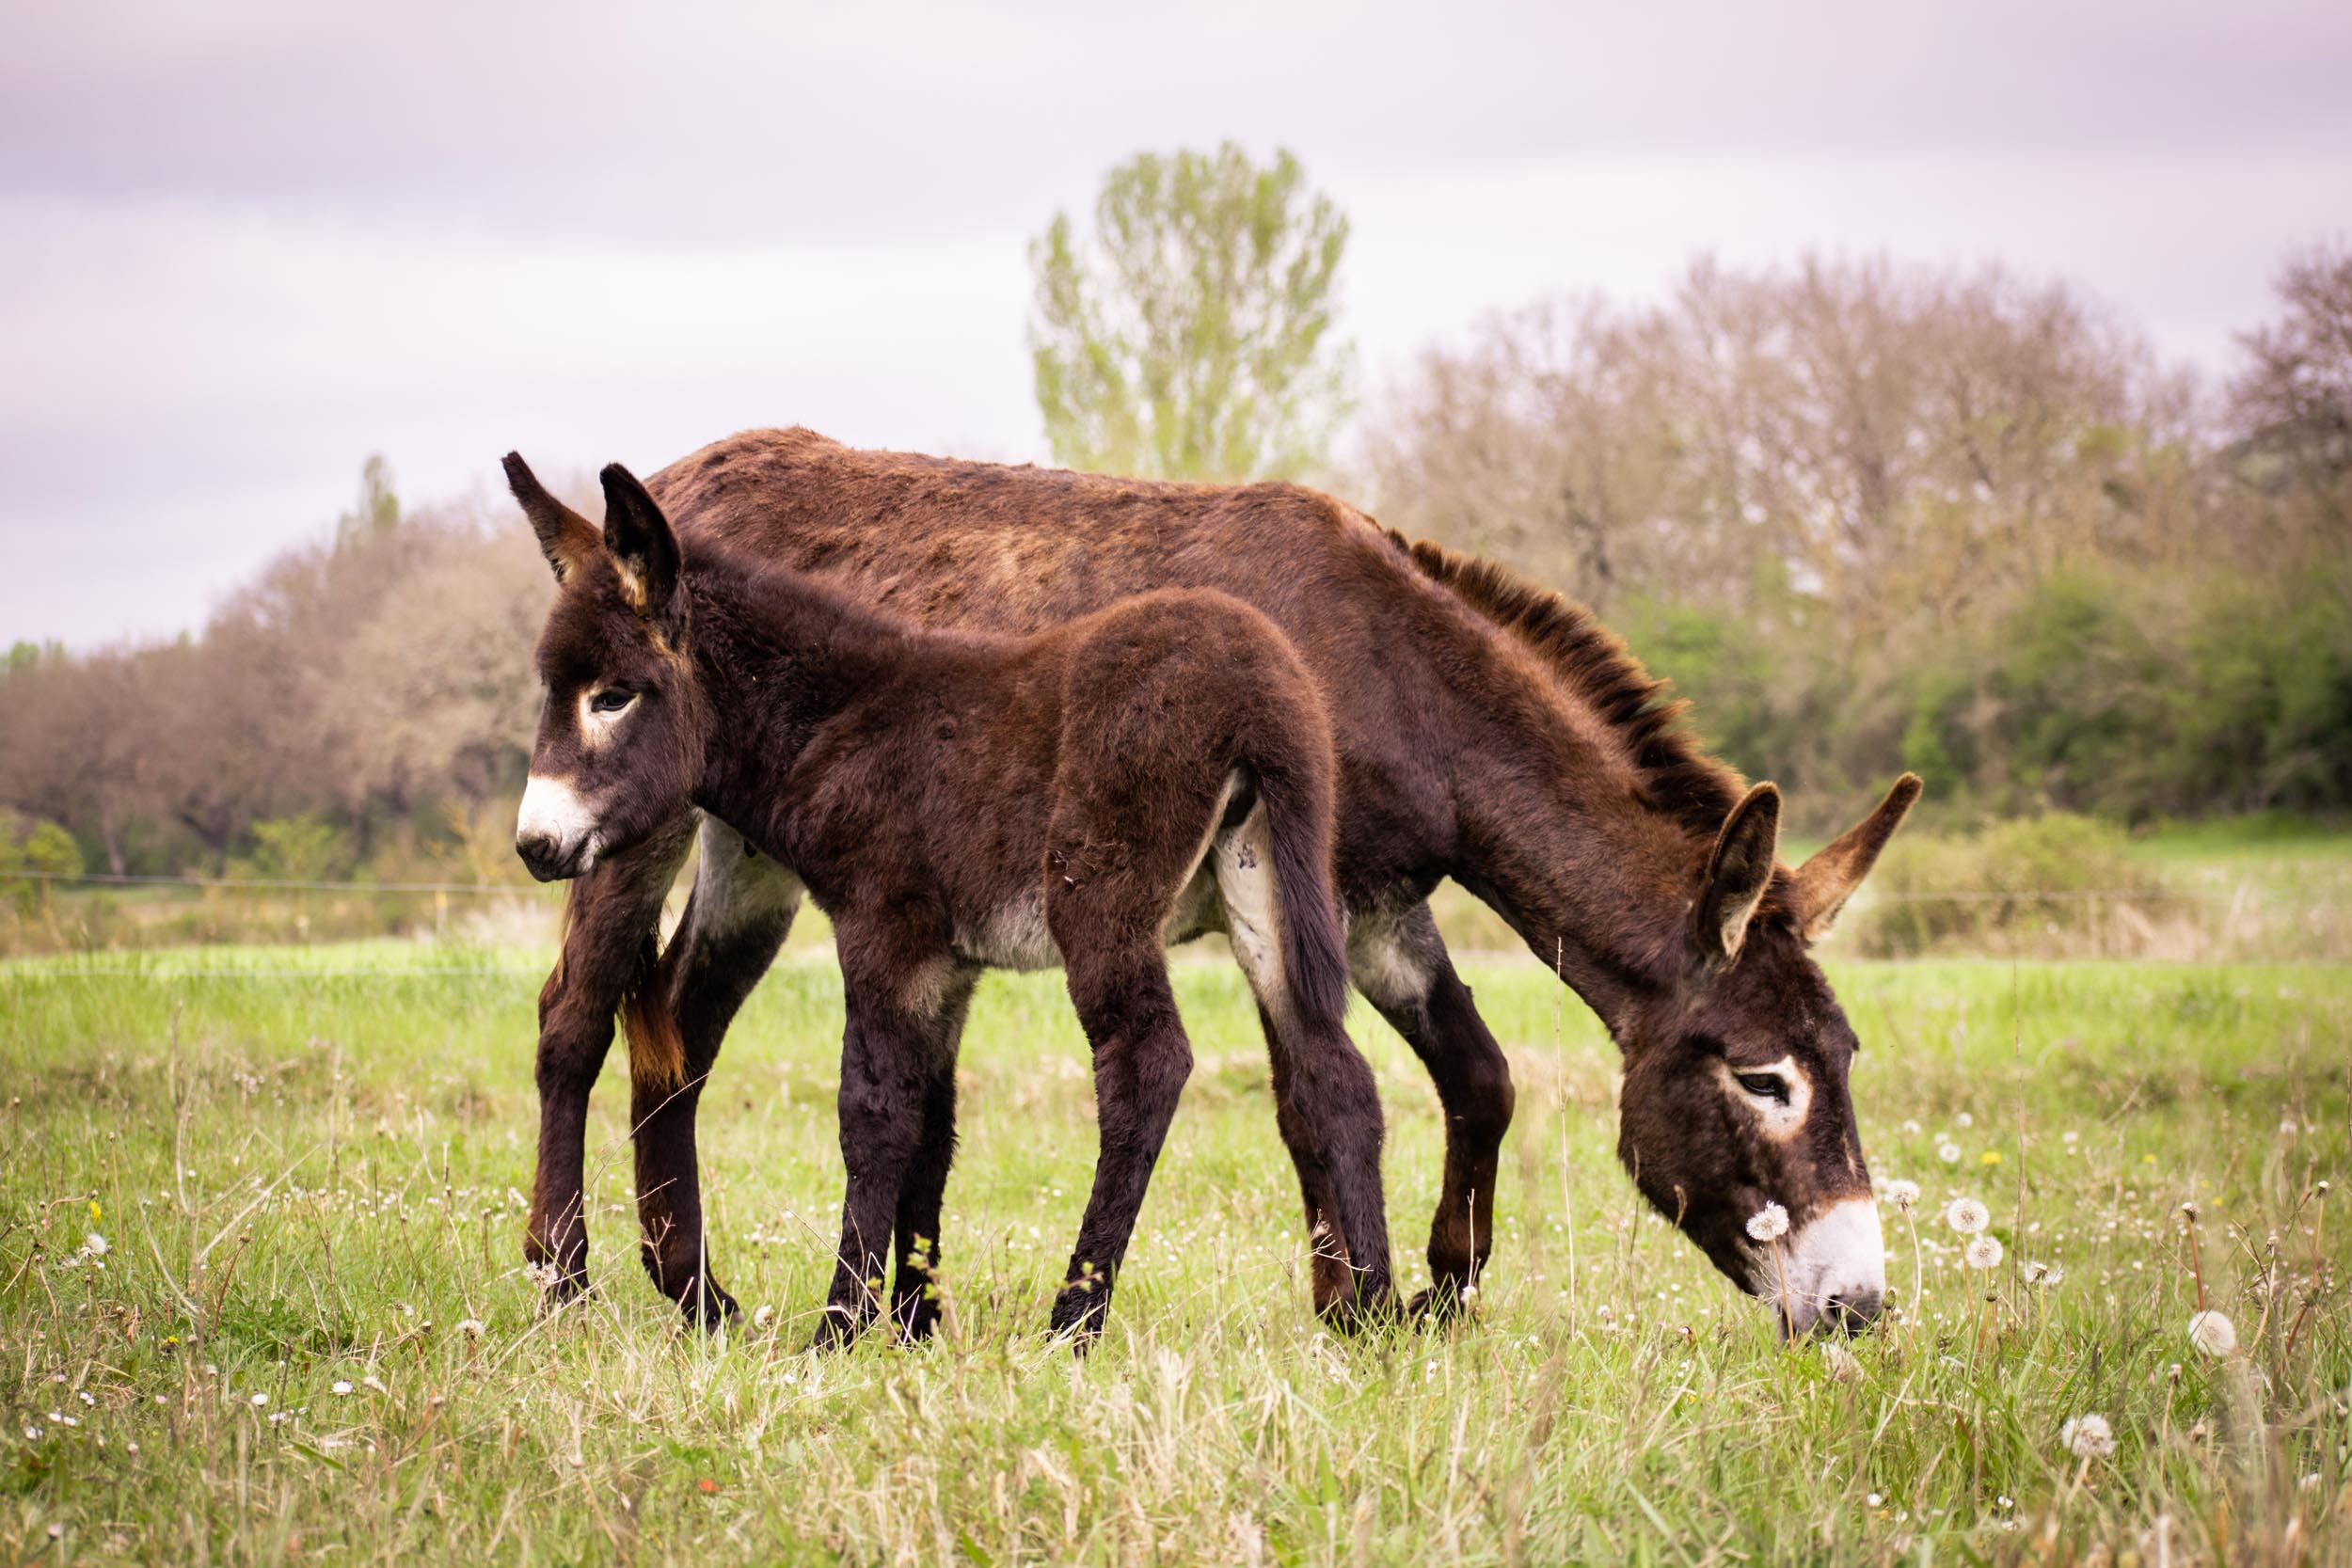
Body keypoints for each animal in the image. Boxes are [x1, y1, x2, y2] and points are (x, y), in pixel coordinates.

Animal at [510, 455, 1392, 1354]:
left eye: (613, 696)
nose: (534, 846)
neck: (838, 722)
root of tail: (1258, 681)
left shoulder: (882, 935)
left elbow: (873, 1118)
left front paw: (840, 1326)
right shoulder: (946, 967)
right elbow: (932, 1131)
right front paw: (914, 1321)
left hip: (1099, 903)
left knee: (1147, 1065)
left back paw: (1074, 1319)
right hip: (1265, 883)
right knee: (1335, 1071)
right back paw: (1376, 1314)